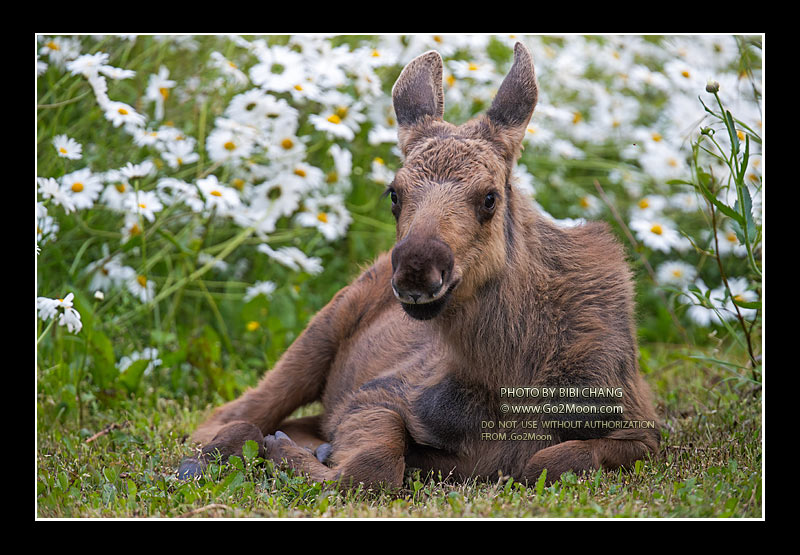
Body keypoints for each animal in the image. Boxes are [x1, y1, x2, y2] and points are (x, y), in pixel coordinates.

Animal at [178, 42, 661, 490]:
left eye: (489, 197)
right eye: (394, 192)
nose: (416, 269)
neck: (511, 381)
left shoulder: (643, 428)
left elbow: (554, 458)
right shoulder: (381, 392)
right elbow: (375, 465)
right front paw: (294, 454)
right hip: (322, 328)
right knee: (232, 414)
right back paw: (204, 458)